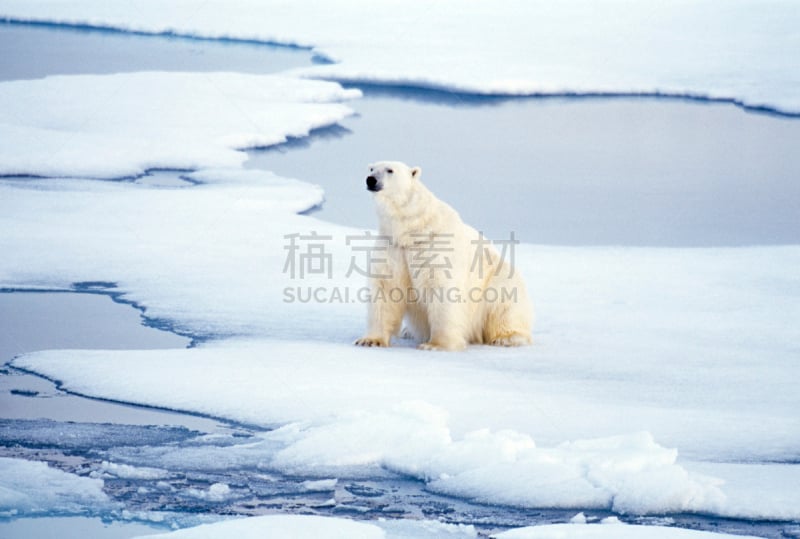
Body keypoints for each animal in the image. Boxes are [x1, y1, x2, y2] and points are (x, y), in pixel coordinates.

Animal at [354, 160, 532, 352]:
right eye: (371, 168)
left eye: (390, 170)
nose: (370, 180)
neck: (413, 228)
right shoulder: (393, 247)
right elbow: (386, 289)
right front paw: (370, 340)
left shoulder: (435, 248)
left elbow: (442, 290)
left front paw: (436, 344)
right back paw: (407, 331)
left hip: (496, 281)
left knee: (503, 304)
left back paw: (507, 338)